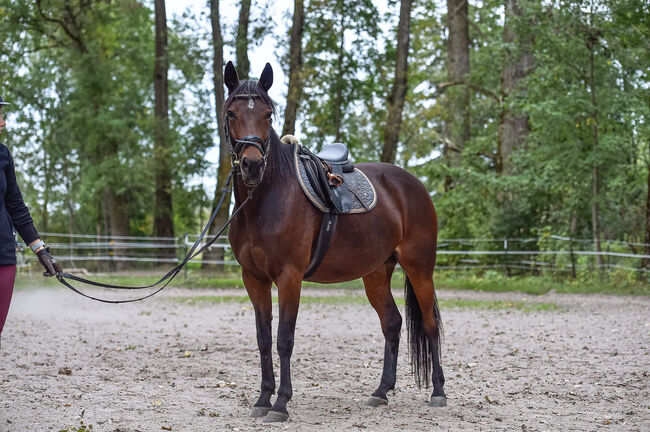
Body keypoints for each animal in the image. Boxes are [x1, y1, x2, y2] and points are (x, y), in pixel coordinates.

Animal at [224, 60, 446, 422]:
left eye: (268, 115)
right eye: (231, 113)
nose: (252, 166)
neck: (265, 200)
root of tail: (413, 184)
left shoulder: (289, 277)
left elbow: (284, 339)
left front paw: (281, 403)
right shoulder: (253, 278)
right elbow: (263, 338)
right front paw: (263, 398)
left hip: (419, 267)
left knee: (429, 324)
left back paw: (438, 391)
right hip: (376, 272)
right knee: (392, 323)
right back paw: (380, 392)